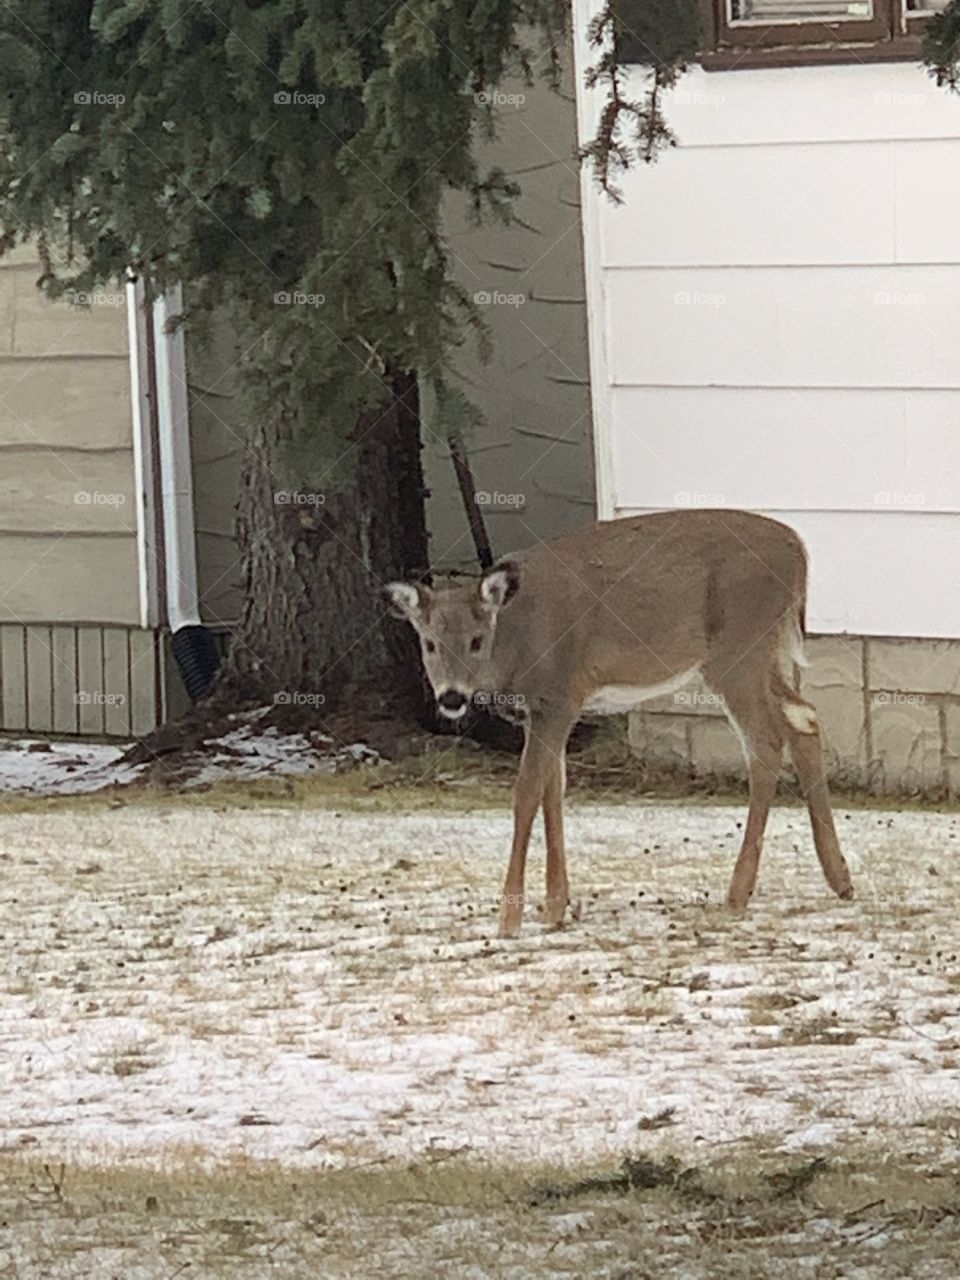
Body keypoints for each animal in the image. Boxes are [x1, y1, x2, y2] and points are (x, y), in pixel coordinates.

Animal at [386, 509, 855, 942]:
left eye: (477, 640)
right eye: (429, 643)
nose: (451, 697)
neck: (517, 644)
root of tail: (798, 550)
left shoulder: (559, 696)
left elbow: (527, 793)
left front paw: (510, 918)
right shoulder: (544, 712)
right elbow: (554, 792)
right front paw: (555, 906)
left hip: (738, 649)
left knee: (767, 741)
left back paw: (738, 892)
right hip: (762, 656)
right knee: (805, 717)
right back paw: (840, 879)